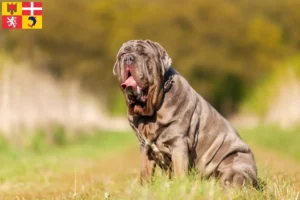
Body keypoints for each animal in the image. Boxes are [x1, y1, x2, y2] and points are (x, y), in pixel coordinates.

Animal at [112, 39, 258, 188]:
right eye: (122, 54)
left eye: (143, 54)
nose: (128, 58)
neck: (150, 112)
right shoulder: (145, 147)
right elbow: (145, 174)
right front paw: (144, 188)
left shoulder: (178, 143)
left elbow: (179, 171)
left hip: (236, 162)